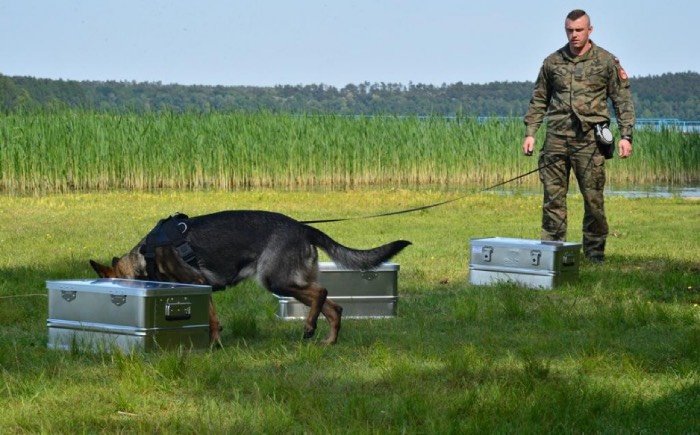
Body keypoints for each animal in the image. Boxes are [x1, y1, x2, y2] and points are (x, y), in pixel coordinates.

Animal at [91, 209, 412, 346]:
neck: (146, 255)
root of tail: (302, 227)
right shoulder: (203, 290)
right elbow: (214, 319)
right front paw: (216, 342)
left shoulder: (197, 283)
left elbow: (211, 320)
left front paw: (214, 344)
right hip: (290, 282)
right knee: (335, 307)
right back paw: (328, 341)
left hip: (277, 280)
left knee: (321, 294)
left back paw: (309, 326)